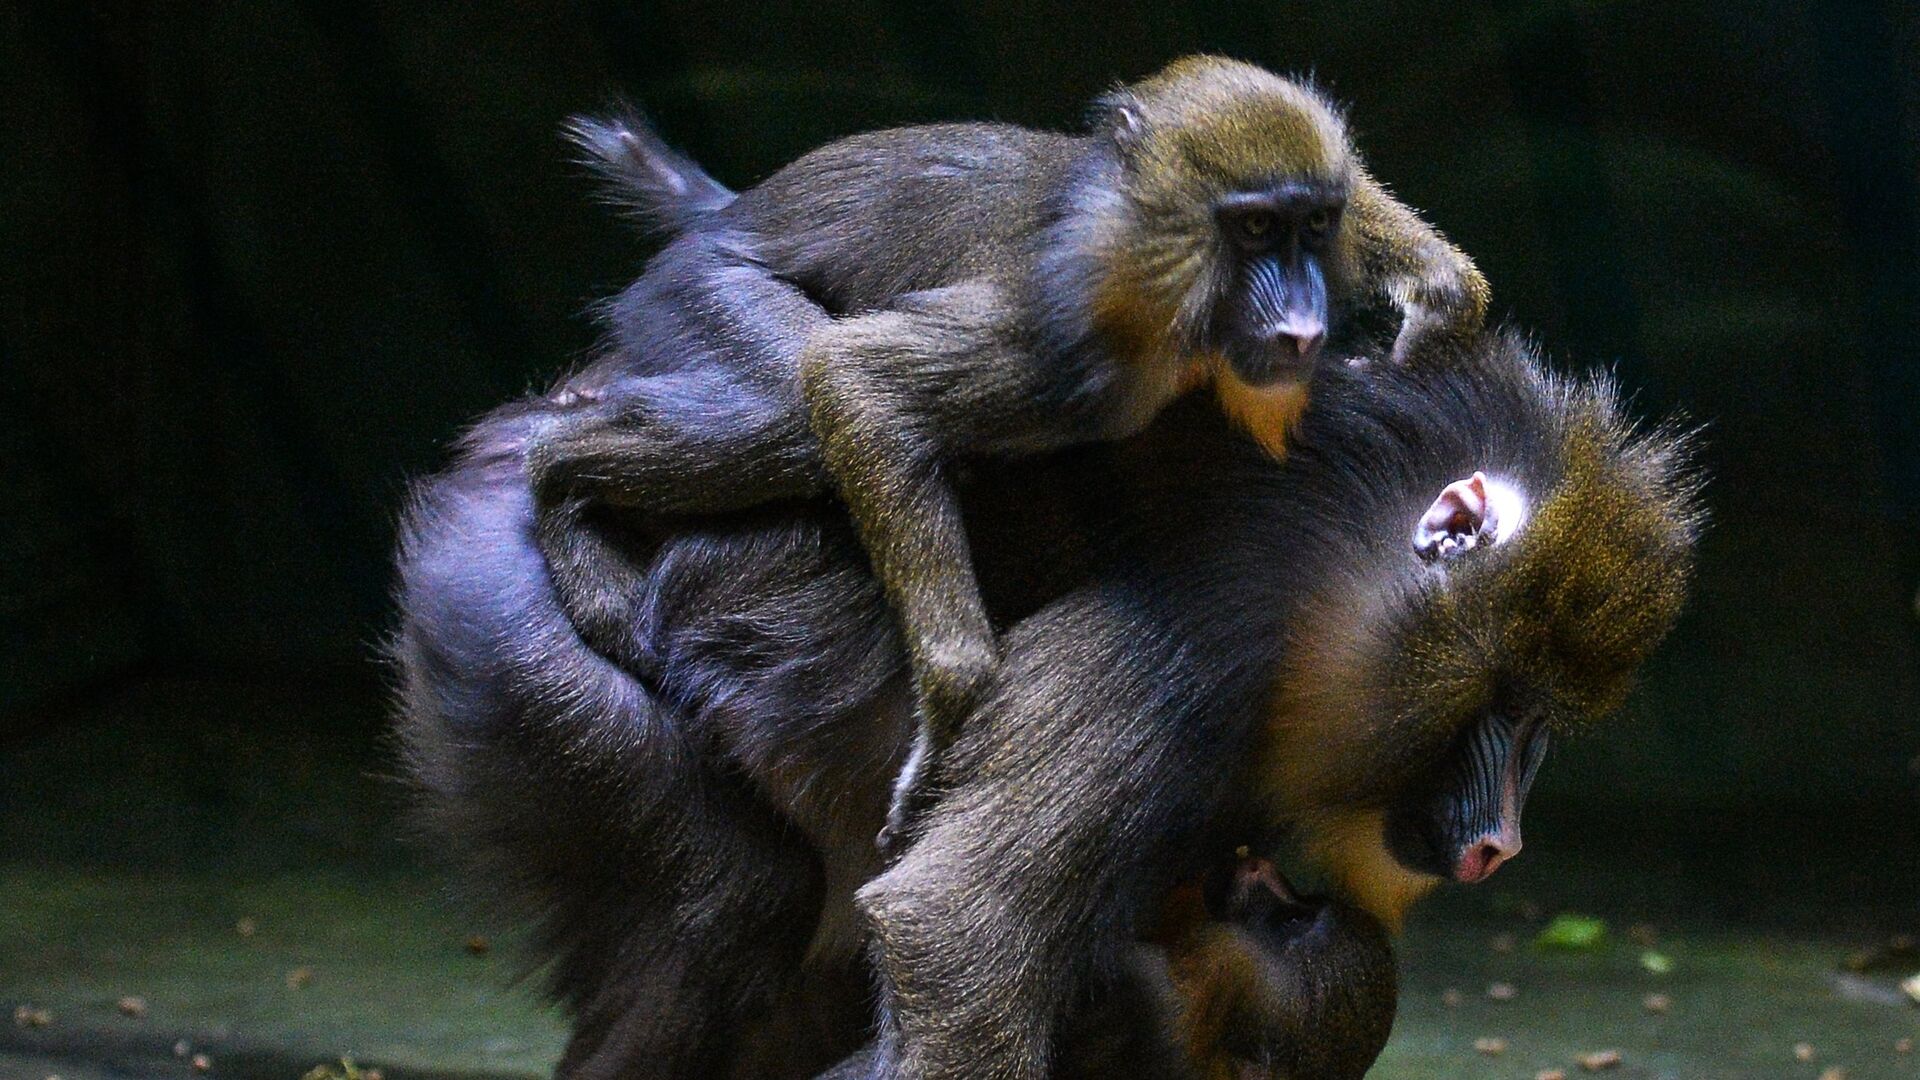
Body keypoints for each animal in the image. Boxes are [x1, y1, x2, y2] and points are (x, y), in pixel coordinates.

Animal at [526, 52, 1482, 841]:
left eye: (1316, 225)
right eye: (1252, 232)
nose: (1302, 329)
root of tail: (726, 216)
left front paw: (1440, 300)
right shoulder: (1069, 346)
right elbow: (854, 379)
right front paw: (948, 724)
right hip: (703, 295)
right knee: (788, 413)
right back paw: (560, 471)